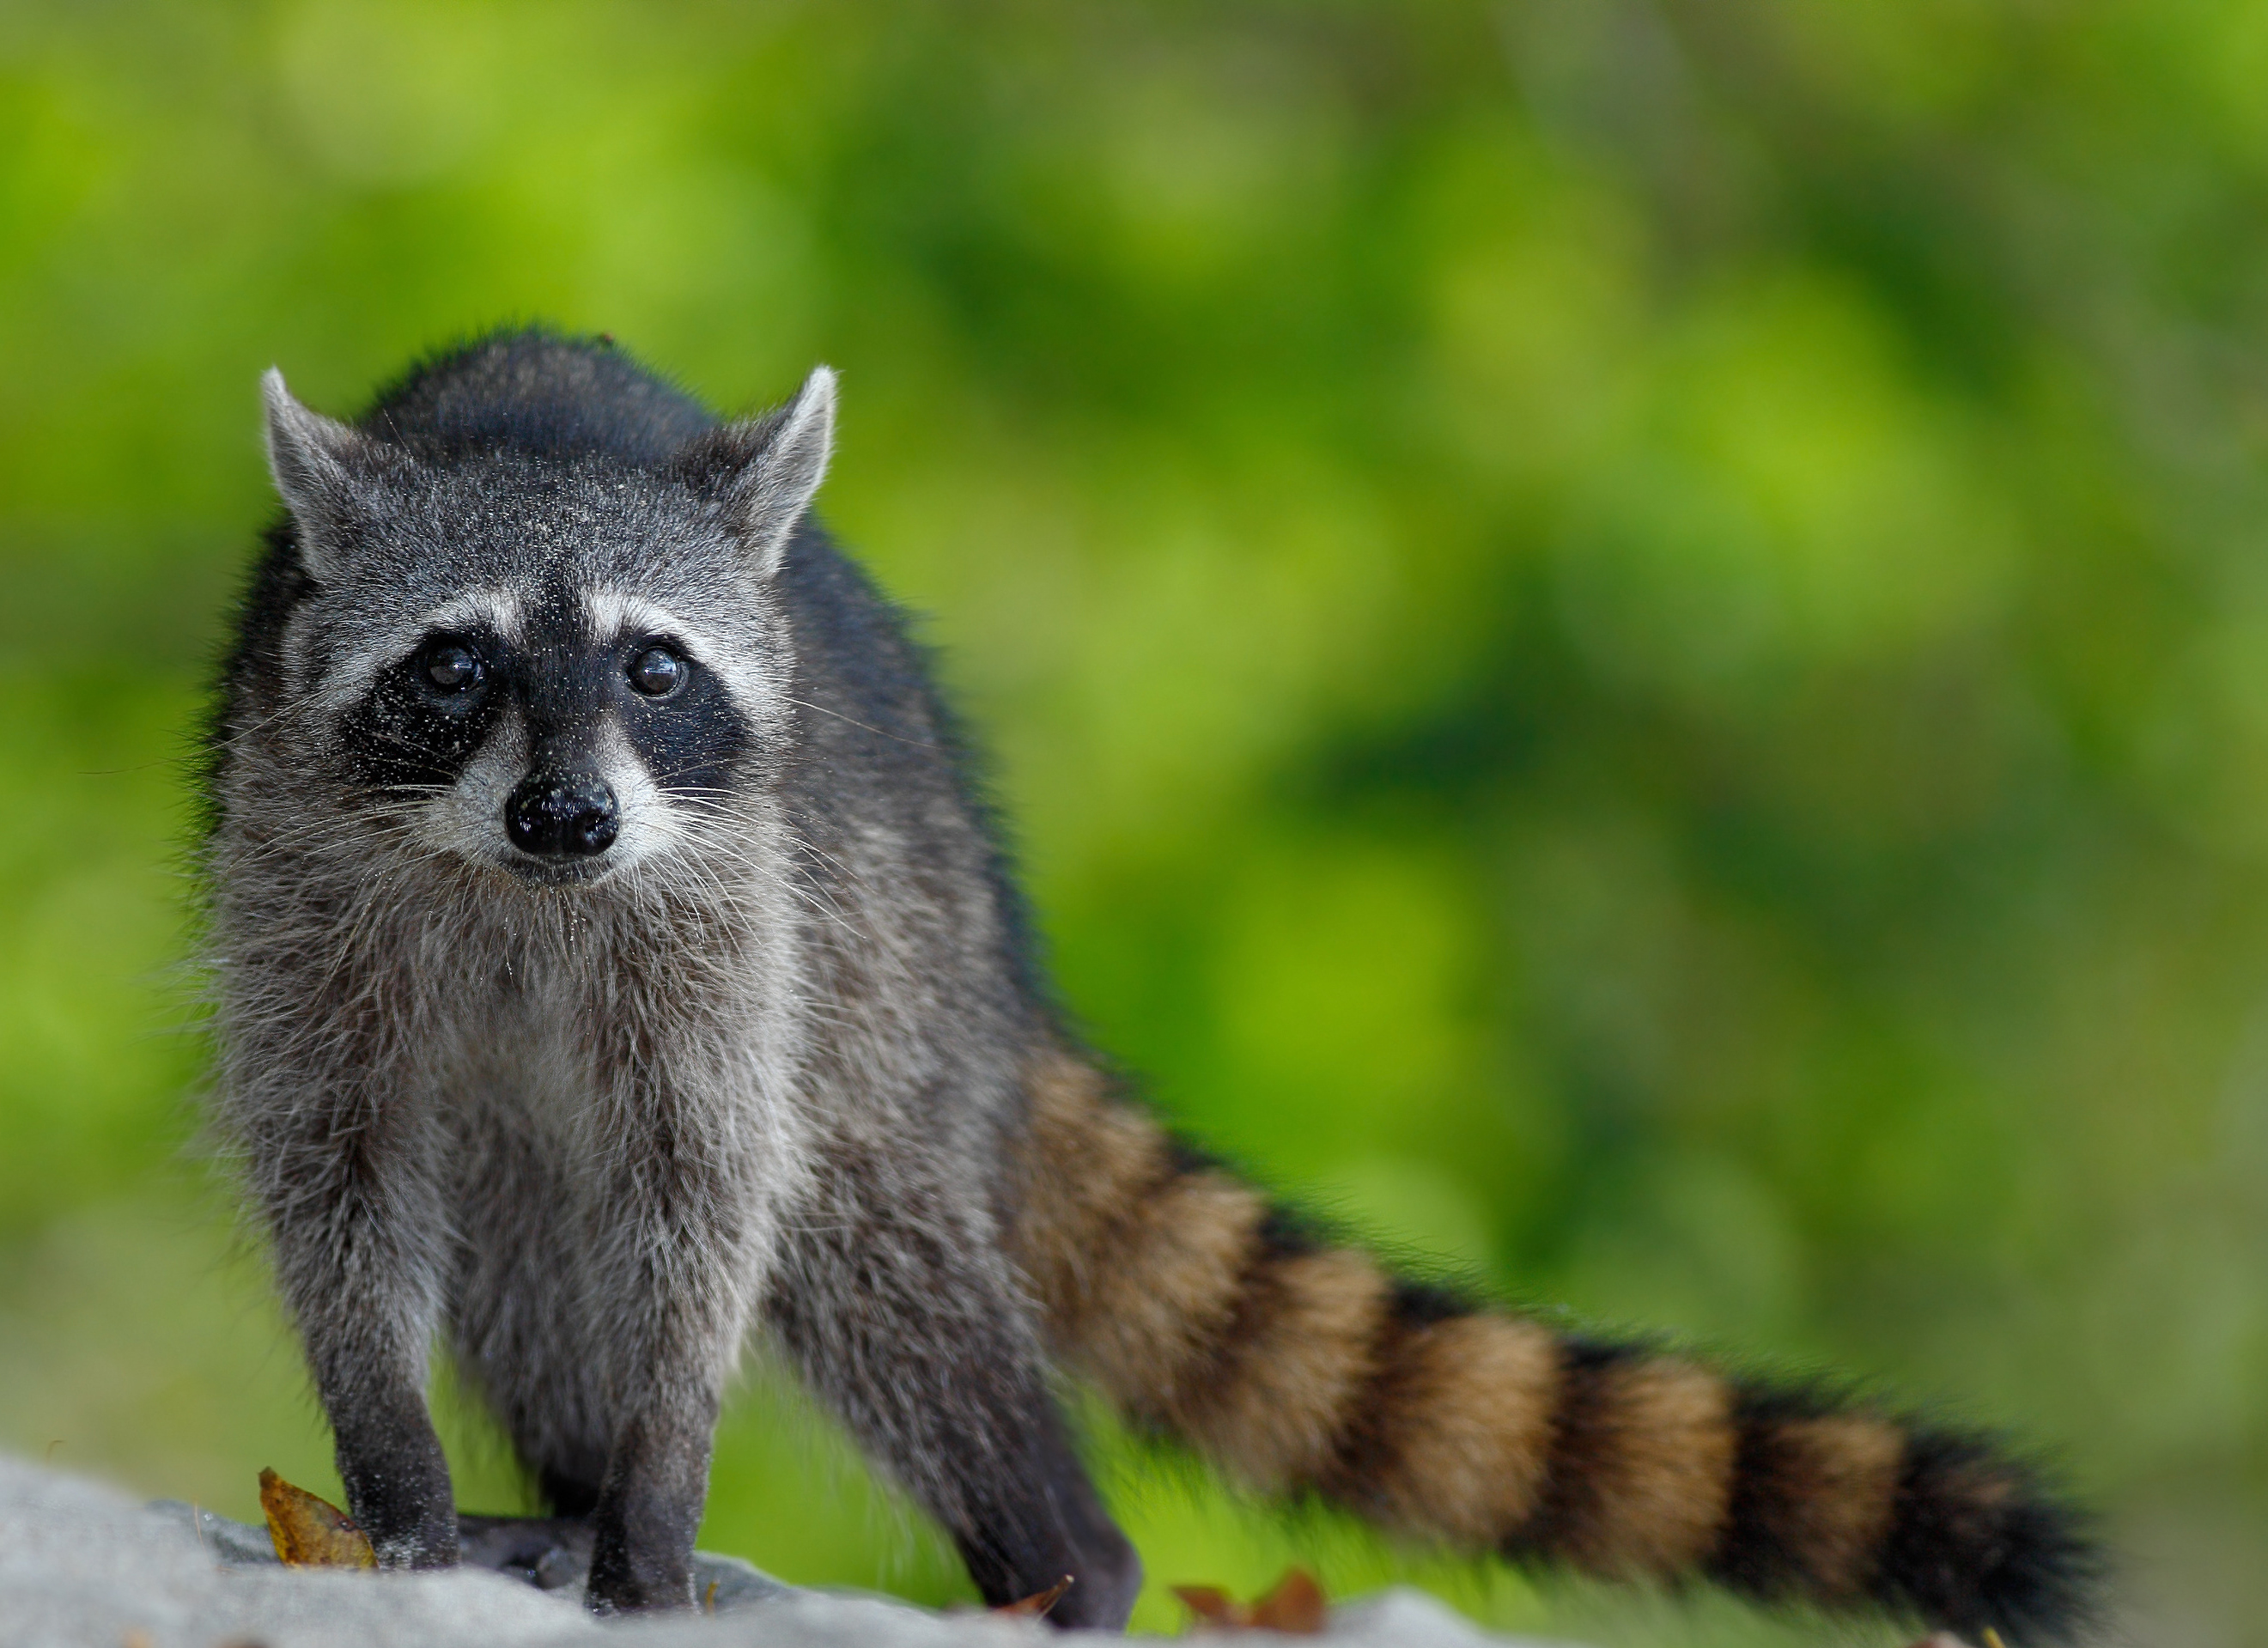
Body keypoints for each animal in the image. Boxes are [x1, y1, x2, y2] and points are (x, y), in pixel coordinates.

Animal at [204, 328, 2095, 1641]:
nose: (569, 814)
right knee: (537, 1236)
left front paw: (659, 1491)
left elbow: (709, 1192)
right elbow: (338, 1173)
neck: (521, 884)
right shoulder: (290, 876)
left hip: (869, 957)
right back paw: (569, 1494)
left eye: (651, 668)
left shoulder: (728, 919)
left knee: (866, 1243)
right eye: (457, 663)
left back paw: (1049, 1555)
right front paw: (398, 1472)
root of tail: (991, 951)